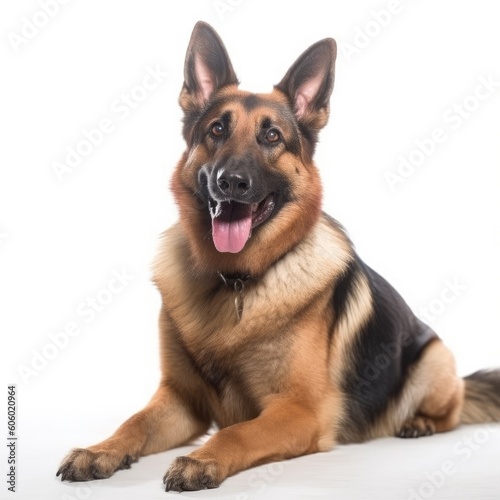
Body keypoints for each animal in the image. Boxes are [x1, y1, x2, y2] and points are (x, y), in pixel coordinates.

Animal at [57, 20, 500, 492]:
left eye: (272, 136)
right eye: (217, 130)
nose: (231, 182)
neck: (234, 282)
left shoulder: (297, 411)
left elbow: (237, 431)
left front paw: (202, 459)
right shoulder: (181, 400)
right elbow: (134, 422)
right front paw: (99, 451)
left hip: (434, 358)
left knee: (450, 410)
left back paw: (419, 422)